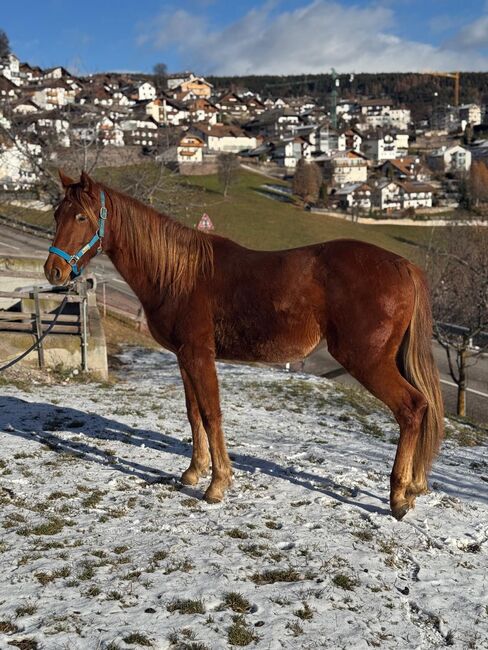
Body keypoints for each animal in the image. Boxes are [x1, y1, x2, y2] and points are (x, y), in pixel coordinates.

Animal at [43, 170, 444, 520]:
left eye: (81, 216)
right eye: (57, 213)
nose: (53, 272)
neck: (180, 273)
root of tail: (402, 265)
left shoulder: (200, 355)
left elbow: (211, 414)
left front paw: (217, 484)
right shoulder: (184, 357)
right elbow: (193, 413)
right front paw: (193, 472)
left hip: (367, 361)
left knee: (412, 408)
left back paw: (398, 496)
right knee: (422, 407)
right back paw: (413, 486)